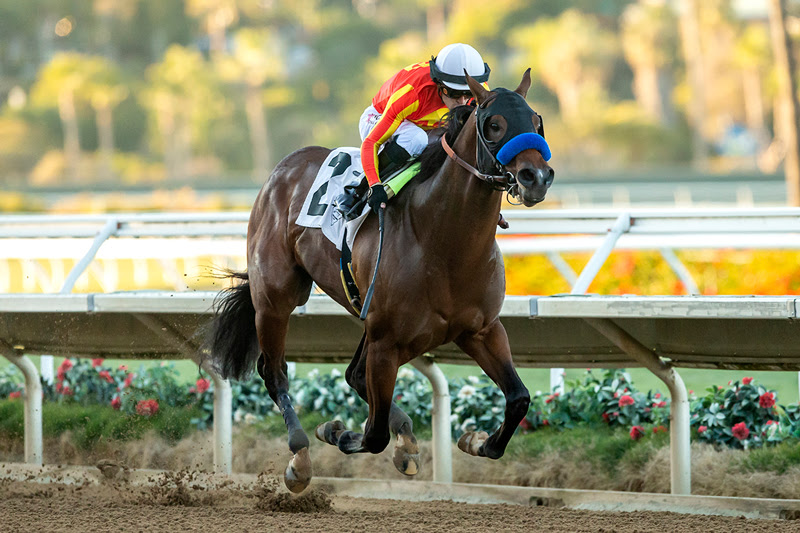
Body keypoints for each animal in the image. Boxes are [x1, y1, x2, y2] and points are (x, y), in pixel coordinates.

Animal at [208, 70, 554, 493]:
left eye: (536, 121)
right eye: (494, 124)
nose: (536, 177)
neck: (443, 242)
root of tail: (284, 167)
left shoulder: (481, 330)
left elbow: (518, 397)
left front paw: (475, 440)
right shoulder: (387, 341)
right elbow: (372, 436)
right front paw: (336, 431)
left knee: (354, 375)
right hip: (276, 298)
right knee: (274, 372)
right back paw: (300, 455)